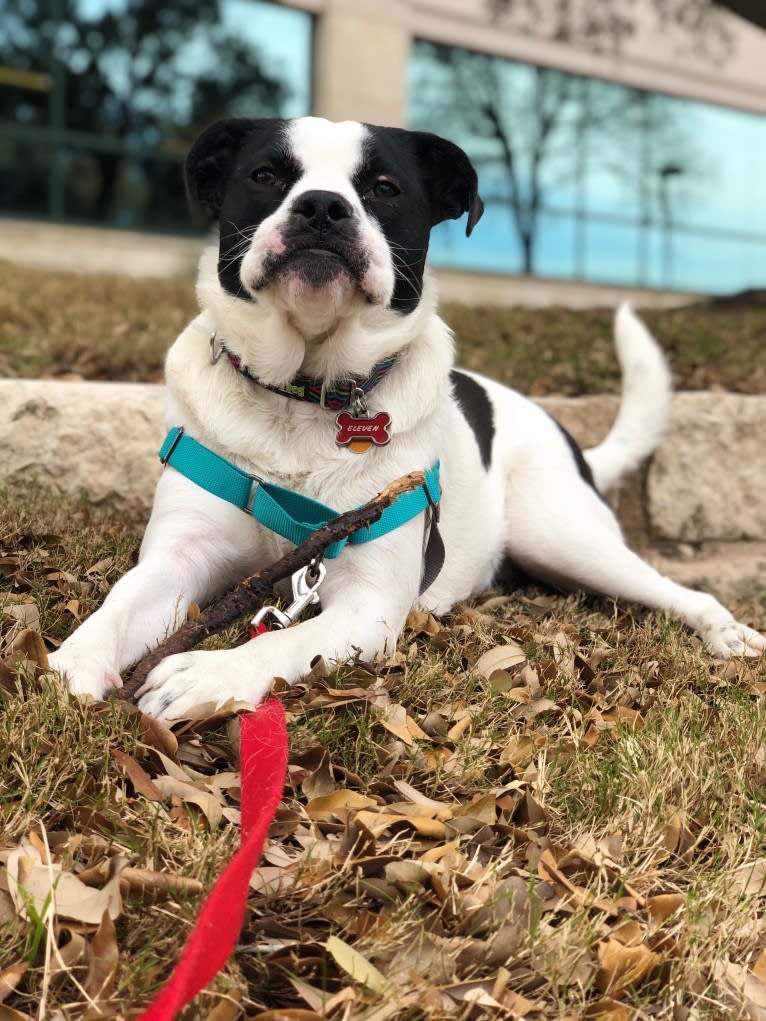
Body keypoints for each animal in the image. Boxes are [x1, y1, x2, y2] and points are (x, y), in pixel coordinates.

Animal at [49, 115, 766, 722]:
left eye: (384, 188)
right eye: (267, 175)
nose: (322, 207)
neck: (304, 396)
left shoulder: (367, 605)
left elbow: (281, 641)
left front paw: (208, 674)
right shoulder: (179, 556)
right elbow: (118, 604)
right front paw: (73, 661)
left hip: (566, 538)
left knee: (680, 591)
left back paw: (726, 631)